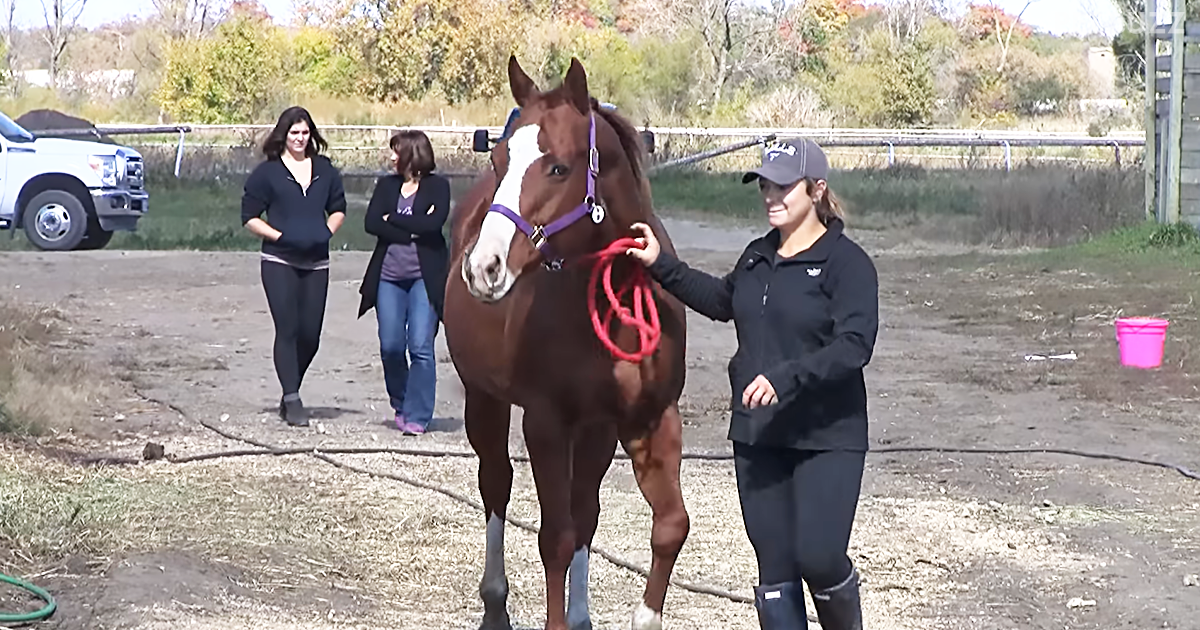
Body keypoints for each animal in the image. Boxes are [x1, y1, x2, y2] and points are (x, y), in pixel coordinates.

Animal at [441, 55, 691, 630]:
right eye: (500, 159)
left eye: (557, 167)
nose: (483, 266)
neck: (615, 296)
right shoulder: (547, 422)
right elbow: (554, 538)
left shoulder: (651, 418)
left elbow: (670, 525)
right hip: (484, 400)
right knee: (496, 483)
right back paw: (495, 604)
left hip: (597, 430)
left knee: (587, 510)